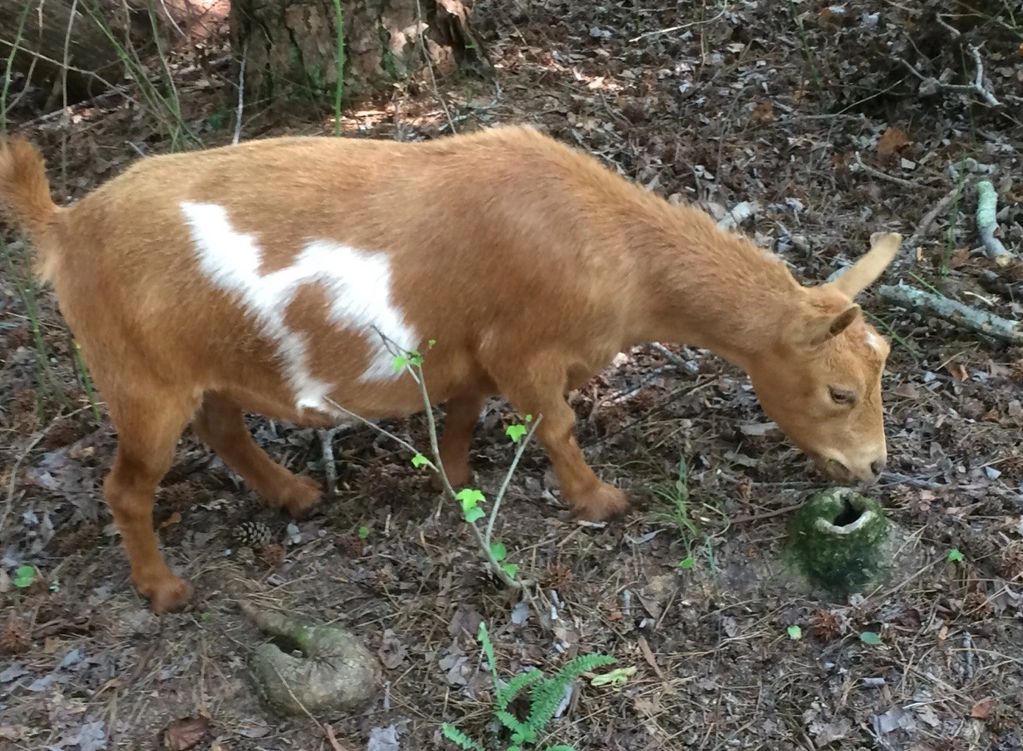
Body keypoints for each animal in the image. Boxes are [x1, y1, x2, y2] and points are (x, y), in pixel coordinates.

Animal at [0, 127, 896, 613]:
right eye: (840, 390)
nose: (875, 466)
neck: (617, 248)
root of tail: (67, 224)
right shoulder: (523, 350)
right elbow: (556, 424)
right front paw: (598, 501)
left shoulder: (466, 355)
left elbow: (464, 415)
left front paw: (456, 483)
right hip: (139, 379)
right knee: (127, 486)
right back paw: (163, 589)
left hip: (204, 367)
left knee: (222, 425)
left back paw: (293, 495)